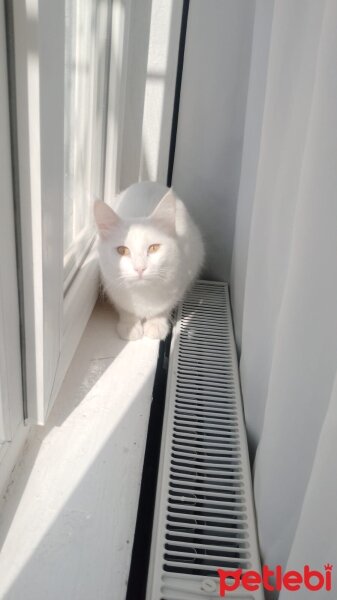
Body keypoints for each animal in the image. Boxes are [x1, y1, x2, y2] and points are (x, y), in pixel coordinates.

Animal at [93, 180, 203, 340]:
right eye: (122, 250)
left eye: (153, 248)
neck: (143, 292)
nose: (140, 268)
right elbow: (126, 310)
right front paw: (130, 326)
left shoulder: (184, 276)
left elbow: (163, 309)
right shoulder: (112, 287)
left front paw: (156, 324)